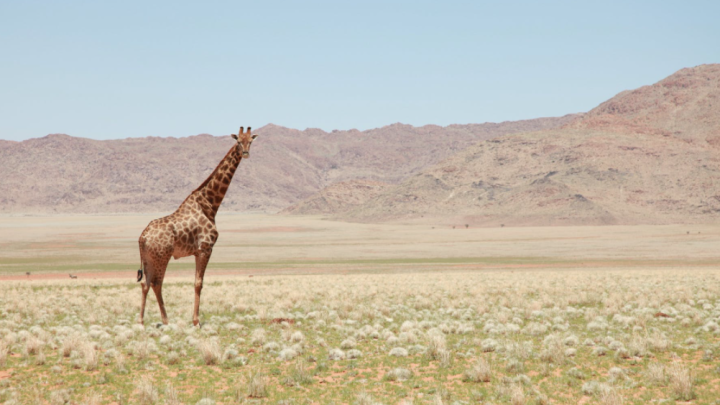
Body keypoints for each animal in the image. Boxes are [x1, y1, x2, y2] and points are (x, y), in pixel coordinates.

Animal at [136, 126, 258, 326]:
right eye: (239, 141)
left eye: (251, 141)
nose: (246, 153)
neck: (209, 204)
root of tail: (142, 237)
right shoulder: (205, 248)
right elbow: (198, 283)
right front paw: (196, 321)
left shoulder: (197, 251)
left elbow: (197, 282)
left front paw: (195, 320)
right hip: (162, 256)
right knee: (156, 283)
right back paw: (164, 320)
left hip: (149, 258)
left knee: (145, 283)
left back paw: (143, 321)